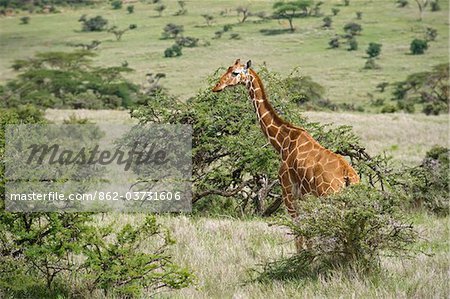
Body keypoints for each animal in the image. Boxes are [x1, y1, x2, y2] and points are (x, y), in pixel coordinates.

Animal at [213, 59, 360, 251]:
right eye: (228, 69)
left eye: (235, 73)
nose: (216, 87)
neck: (283, 142)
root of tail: (348, 176)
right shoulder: (304, 198)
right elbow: (308, 238)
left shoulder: (288, 193)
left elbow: (299, 237)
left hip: (329, 199)